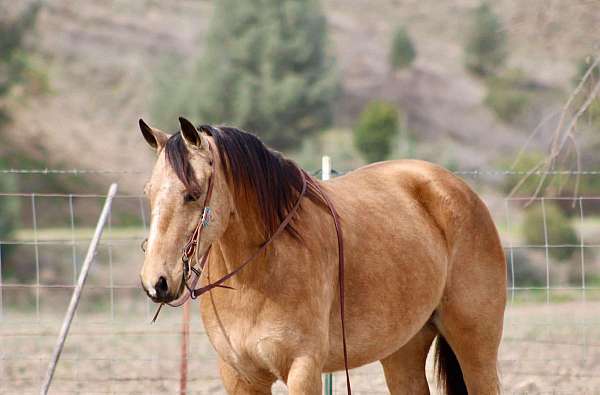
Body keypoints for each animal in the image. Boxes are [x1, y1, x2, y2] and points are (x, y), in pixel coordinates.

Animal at [137, 116, 506, 394]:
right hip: (403, 350)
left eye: (193, 193)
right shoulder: (240, 376)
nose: (157, 282)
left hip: (476, 349)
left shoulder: (303, 369)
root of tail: (456, 189)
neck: (258, 273)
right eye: (149, 192)